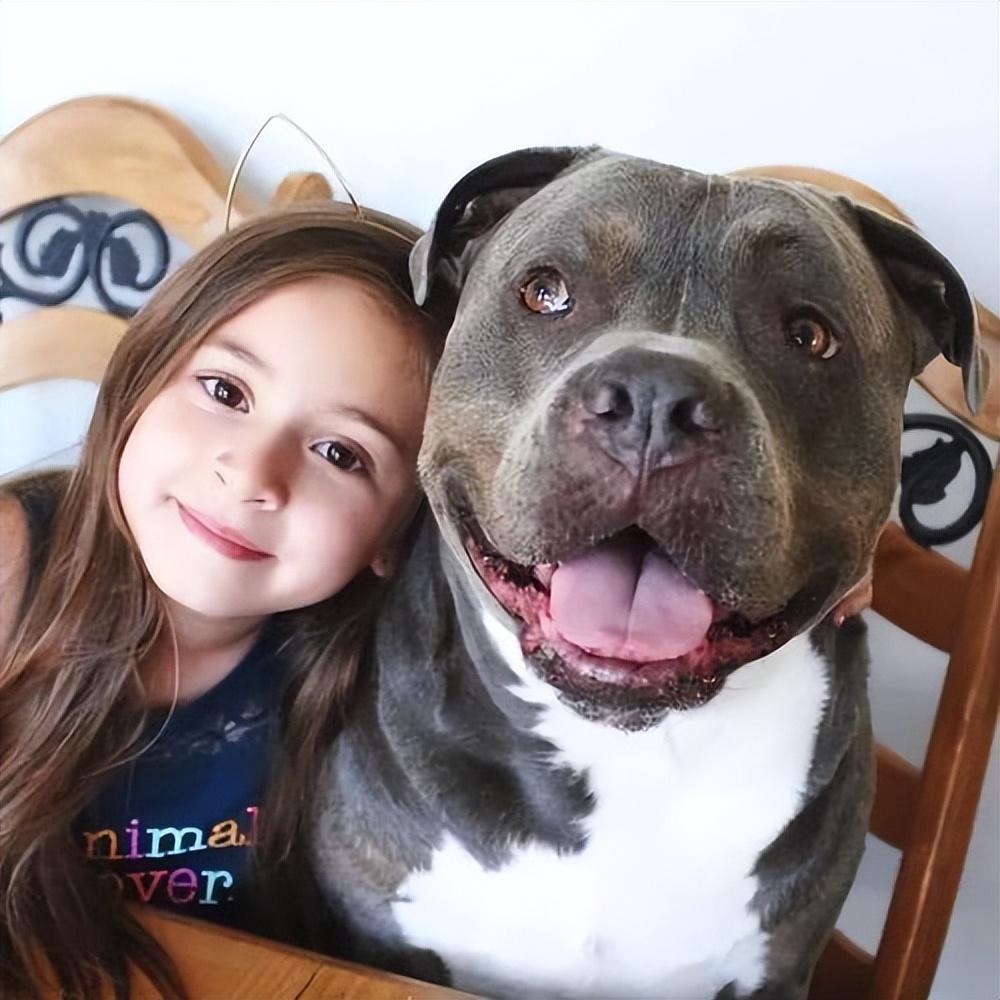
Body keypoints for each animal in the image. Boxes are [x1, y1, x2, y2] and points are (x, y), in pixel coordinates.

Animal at [312, 147, 983, 1000]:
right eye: (545, 291)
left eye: (810, 334)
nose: (657, 398)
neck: (627, 755)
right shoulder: (379, 941)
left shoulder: (776, 974)